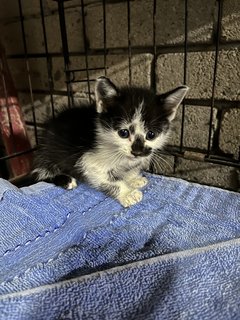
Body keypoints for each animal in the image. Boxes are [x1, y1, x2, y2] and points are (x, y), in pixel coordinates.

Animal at [32, 77, 188, 208]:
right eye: (123, 133)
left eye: (151, 134)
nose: (137, 151)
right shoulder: (88, 161)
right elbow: (109, 180)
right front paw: (127, 193)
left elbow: (129, 170)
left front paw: (133, 179)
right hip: (49, 155)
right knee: (40, 173)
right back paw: (66, 180)